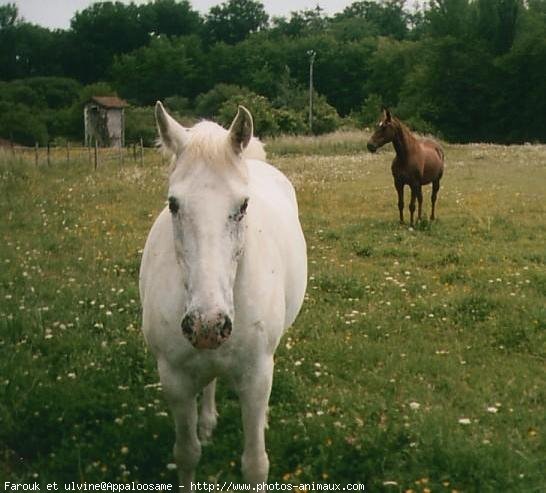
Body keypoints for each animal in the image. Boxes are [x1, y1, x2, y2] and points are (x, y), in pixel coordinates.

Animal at [138, 103, 306, 484]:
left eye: (243, 206)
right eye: (173, 204)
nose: (208, 325)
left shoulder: (256, 377)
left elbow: (255, 464)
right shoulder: (174, 379)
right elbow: (186, 454)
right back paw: (207, 421)